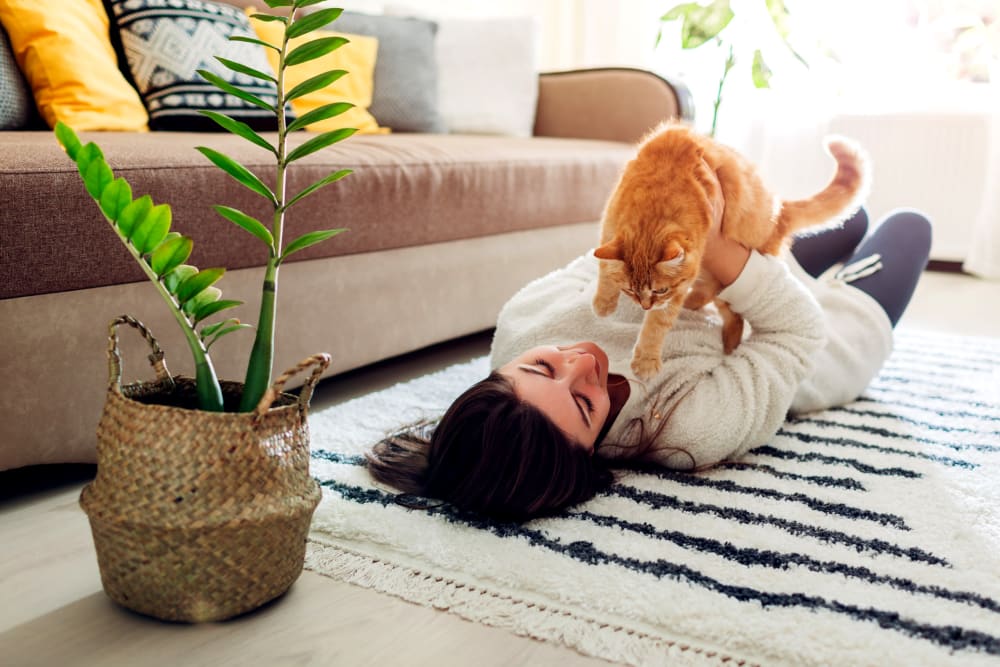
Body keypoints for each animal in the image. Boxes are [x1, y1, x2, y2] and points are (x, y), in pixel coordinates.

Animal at [592, 122, 868, 378]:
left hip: (727, 280)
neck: (657, 196)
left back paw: (727, 346)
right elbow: (605, 268)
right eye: (629, 290)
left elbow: (657, 325)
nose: (645, 306)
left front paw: (646, 359)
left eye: (660, 290)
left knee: (734, 316)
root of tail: (779, 211)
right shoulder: (608, 225)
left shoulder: (677, 289)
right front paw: (603, 303)